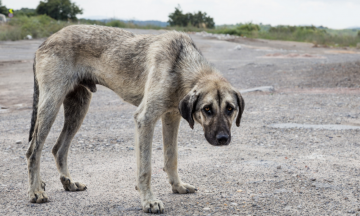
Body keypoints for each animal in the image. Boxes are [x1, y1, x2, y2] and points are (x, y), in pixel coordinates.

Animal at [25, 24, 245, 213]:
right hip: (51, 105)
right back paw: (36, 191)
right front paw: (149, 201)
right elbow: (145, 168)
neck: (181, 64)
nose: (223, 139)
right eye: (207, 109)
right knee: (33, 150)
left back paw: (68, 183)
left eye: (230, 109)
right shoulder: (145, 119)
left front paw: (177, 186)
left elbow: (171, 157)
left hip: (78, 108)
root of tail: (45, 41)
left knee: (58, 148)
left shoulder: (171, 117)